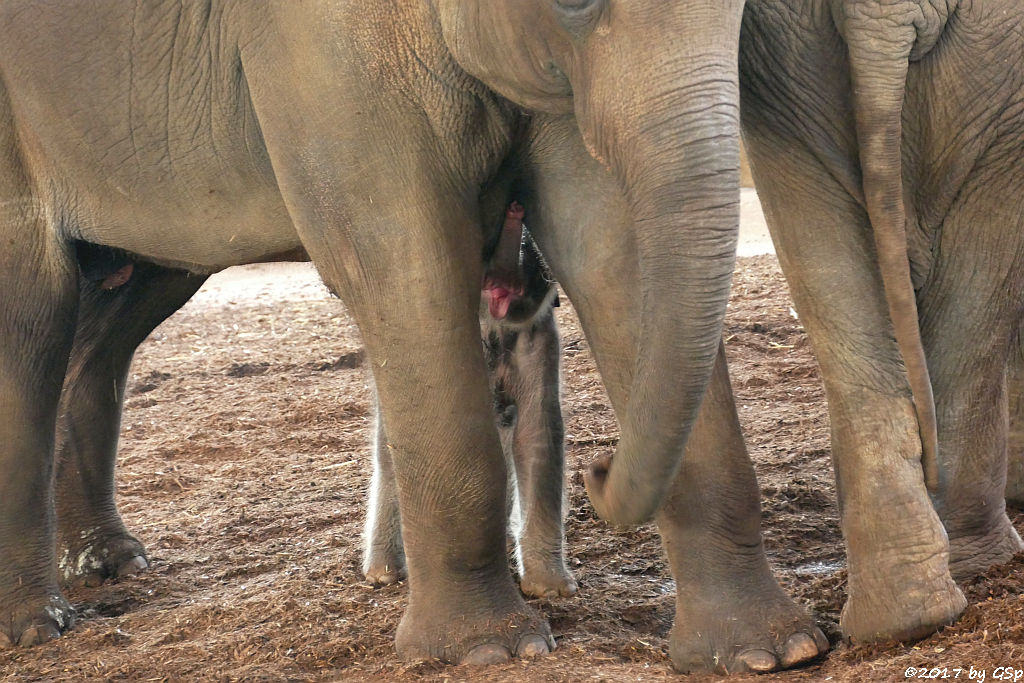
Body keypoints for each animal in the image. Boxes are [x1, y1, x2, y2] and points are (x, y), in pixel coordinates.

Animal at [362, 202, 577, 598]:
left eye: (518, 286)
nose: (514, 214)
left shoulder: (538, 342)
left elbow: (537, 435)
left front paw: (551, 588)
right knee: (388, 452)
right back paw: (382, 572)